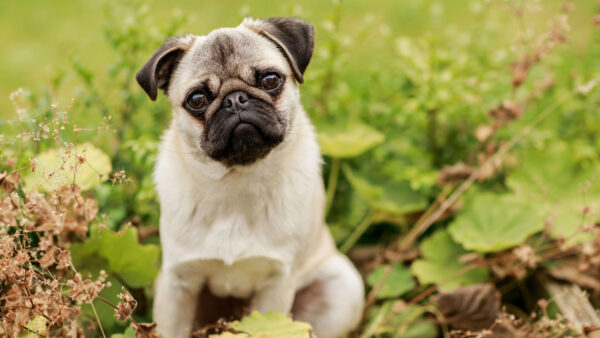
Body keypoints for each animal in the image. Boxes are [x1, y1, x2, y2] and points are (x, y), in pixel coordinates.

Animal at [138, 17, 364, 336]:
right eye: (197, 100)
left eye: (270, 80)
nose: (235, 99)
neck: (237, 181)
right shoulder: (177, 283)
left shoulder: (276, 286)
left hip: (343, 288)